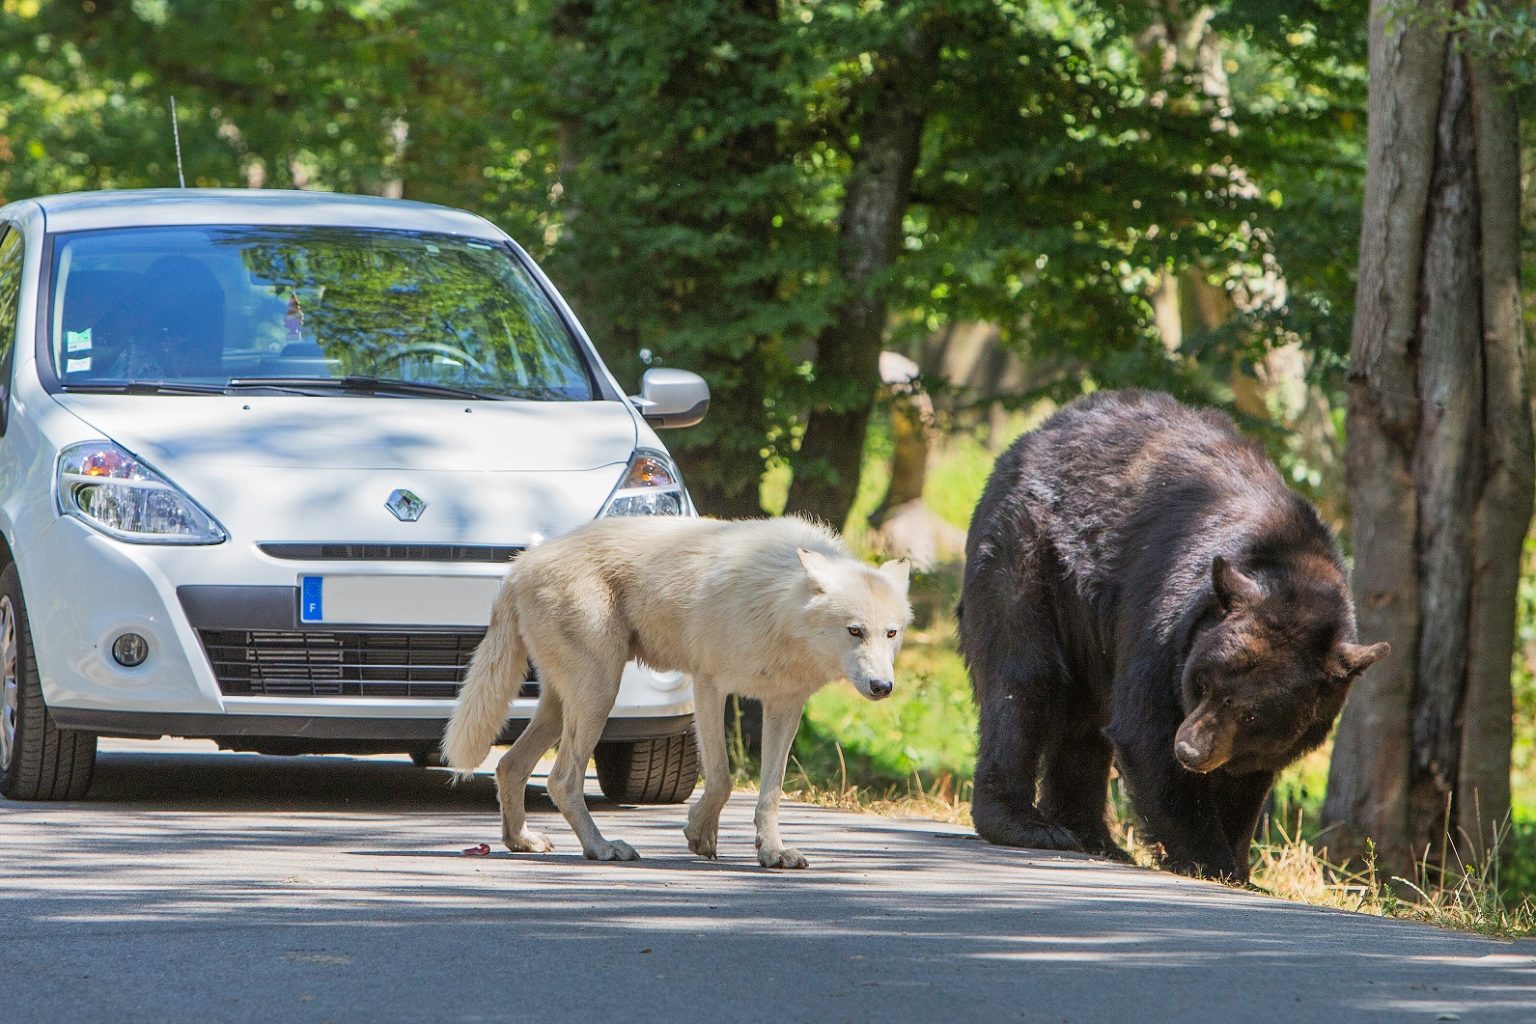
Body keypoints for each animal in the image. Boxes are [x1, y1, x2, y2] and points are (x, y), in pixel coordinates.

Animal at [439, 515, 903, 872]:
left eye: (891, 633)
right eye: (854, 631)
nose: (884, 687)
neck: (777, 601)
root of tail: (519, 566)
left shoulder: (785, 705)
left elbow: (770, 793)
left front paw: (773, 853)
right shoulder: (709, 685)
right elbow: (722, 779)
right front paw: (700, 834)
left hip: (563, 705)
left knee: (510, 766)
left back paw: (522, 840)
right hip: (599, 696)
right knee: (560, 780)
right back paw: (601, 848)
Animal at [958, 393, 1382, 884]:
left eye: (1254, 714)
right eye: (1203, 683)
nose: (1190, 750)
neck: (1294, 568)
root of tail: (1033, 435)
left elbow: (1246, 779)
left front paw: (1239, 862)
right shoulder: (1165, 617)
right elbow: (1146, 731)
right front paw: (1209, 858)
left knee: (1083, 719)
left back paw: (1094, 837)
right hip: (1028, 555)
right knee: (1024, 678)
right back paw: (1026, 825)